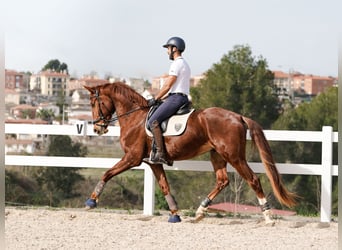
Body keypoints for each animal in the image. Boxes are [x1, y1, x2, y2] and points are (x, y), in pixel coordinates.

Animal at [83, 82, 296, 225]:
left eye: (94, 103)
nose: (97, 129)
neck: (135, 117)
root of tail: (238, 116)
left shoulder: (132, 158)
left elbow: (107, 173)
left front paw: (91, 201)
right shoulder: (153, 162)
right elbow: (165, 186)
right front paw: (175, 214)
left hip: (234, 157)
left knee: (253, 179)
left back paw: (268, 217)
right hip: (217, 155)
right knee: (222, 180)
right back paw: (200, 211)